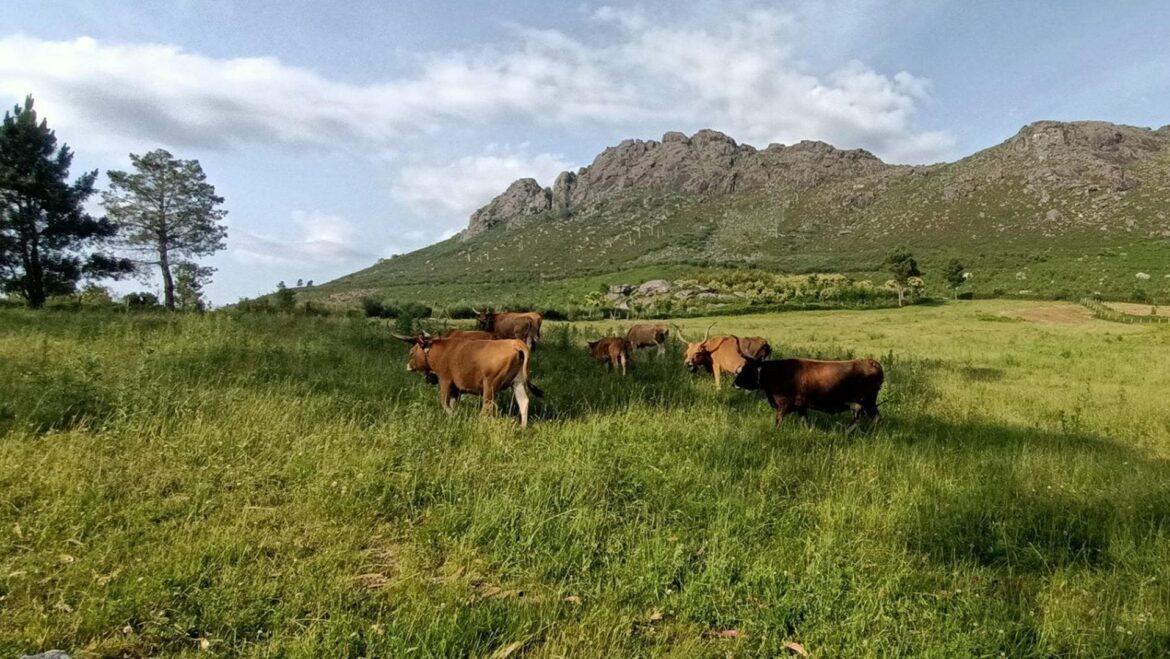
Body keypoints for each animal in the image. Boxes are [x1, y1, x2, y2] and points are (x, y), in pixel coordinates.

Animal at [395, 335, 535, 427]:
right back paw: (522, 427)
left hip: (490, 384)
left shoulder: (445, 380)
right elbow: (452, 403)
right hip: (517, 382)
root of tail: (515, 343)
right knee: (523, 401)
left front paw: (454, 415)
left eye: (412, 353)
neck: (441, 350)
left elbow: (444, 402)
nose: (408, 366)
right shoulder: (456, 389)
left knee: (487, 406)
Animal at [732, 339, 883, 431]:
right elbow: (805, 424)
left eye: (747, 368)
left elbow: (778, 423)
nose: (735, 383)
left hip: (868, 402)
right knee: (858, 420)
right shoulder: (801, 407)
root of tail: (871, 362)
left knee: (875, 418)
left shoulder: (783, 405)